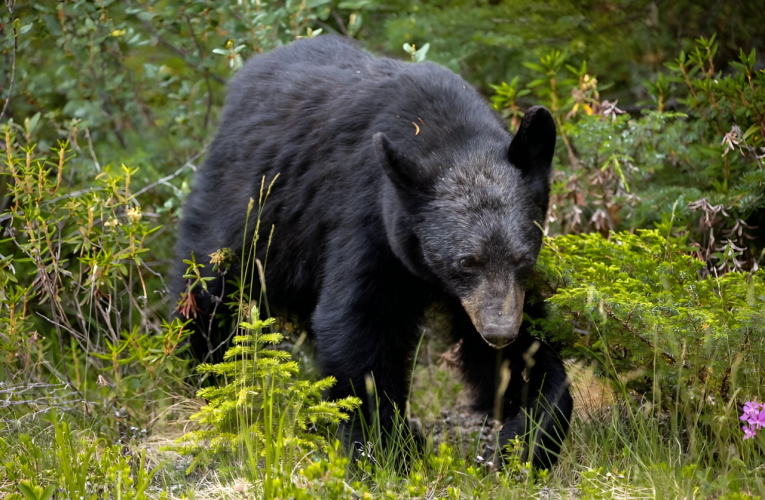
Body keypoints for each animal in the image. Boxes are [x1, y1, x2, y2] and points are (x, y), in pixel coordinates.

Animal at [173, 35, 568, 468]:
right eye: (466, 261)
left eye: (522, 258)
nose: (499, 332)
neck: (447, 132)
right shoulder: (368, 218)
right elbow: (358, 324)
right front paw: (387, 448)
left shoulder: (492, 294)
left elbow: (524, 354)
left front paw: (526, 436)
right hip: (247, 212)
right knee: (208, 293)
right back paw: (207, 377)